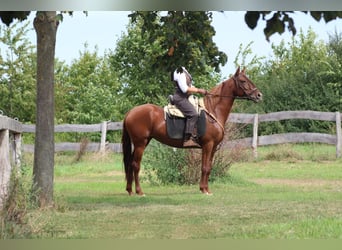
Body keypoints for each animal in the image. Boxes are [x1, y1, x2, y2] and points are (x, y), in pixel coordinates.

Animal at [121, 66, 262, 195]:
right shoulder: (208, 145)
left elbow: (209, 167)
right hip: (140, 143)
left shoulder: (213, 147)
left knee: (130, 164)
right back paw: (139, 191)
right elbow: (204, 168)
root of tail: (130, 112)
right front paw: (204, 190)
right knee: (135, 165)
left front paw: (206, 189)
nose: (259, 95)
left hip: (143, 142)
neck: (212, 110)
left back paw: (130, 190)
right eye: (243, 81)